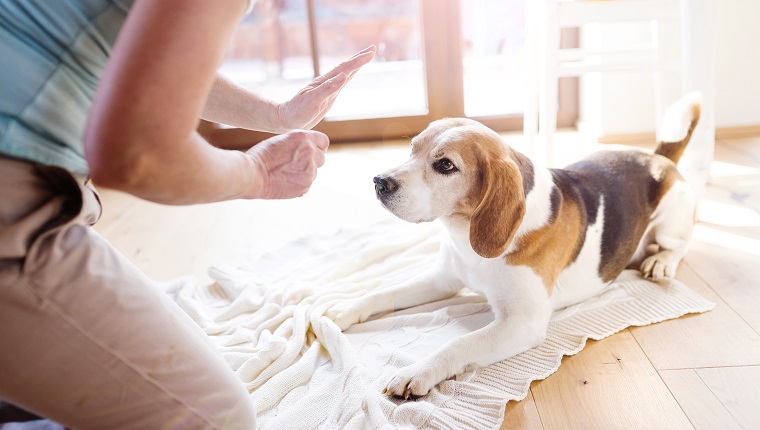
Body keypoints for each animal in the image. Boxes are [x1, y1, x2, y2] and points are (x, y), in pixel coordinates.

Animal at [326, 94, 700, 400]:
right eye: (412, 149)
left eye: (446, 165)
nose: (379, 182)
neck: (466, 238)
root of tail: (657, 158)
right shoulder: (441, 280)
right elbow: (381, 294)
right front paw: (342, 309)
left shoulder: (523, 321)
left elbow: (457, 343)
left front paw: (418, 371)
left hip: (671, 220)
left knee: (679, 244)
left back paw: (662, 262)